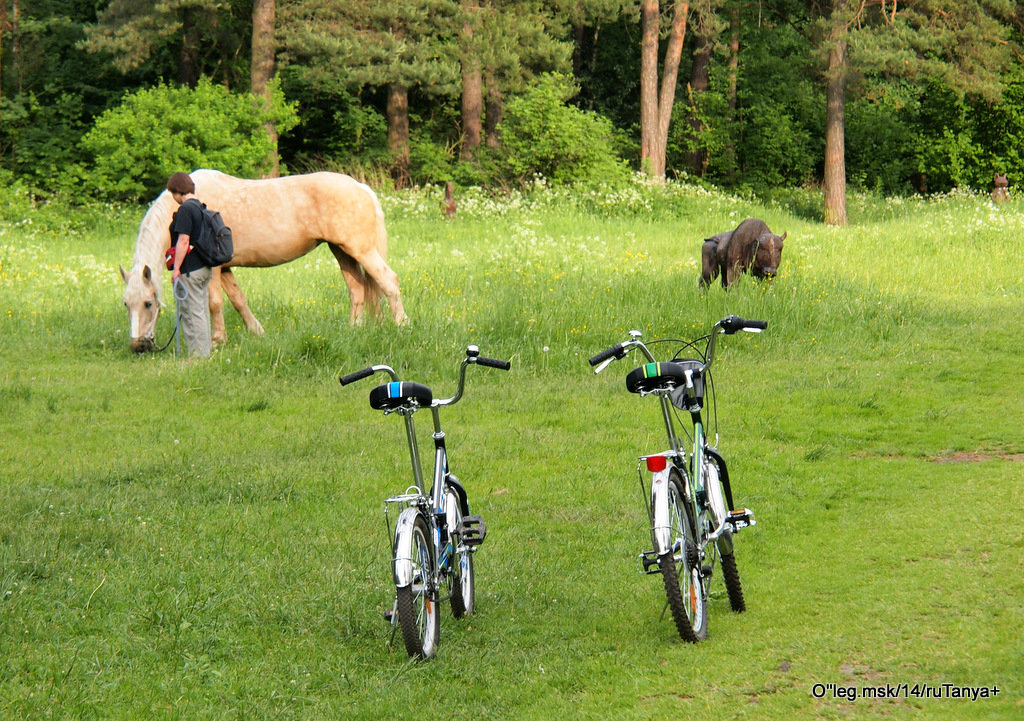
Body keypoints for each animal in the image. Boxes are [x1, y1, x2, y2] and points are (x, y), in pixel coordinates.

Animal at [120, 168, 407, 348]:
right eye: (126, 304)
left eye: (148, 303)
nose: (138, 346)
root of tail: (362, 188)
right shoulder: (226, 268)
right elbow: (238, 300)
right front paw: (257, 331)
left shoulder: (213, 268)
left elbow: (215, 303)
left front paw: (217, 341)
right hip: (342, 251)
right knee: (357, 289)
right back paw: (354, 329)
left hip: (360, 250)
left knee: (388, 281)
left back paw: (401, 325)